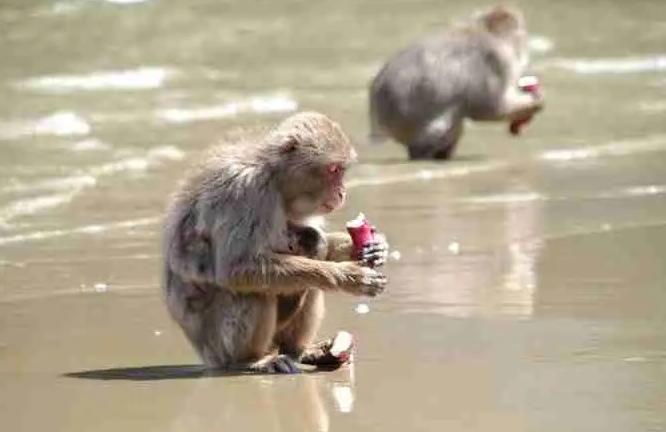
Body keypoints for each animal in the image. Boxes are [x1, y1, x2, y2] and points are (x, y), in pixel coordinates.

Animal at [162, 111, 390, 374]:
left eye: (341, 171)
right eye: (334, 169)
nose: (342, 192)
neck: (275, 180)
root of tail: (205, 355)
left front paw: (371, 247)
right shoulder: (245, 192)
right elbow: (236, 269)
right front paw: (347, 276)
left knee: (312, 265)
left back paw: (300, 351)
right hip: (219, 346)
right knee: (253, 291)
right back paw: (250, 360)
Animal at [366, 4, 544, 160]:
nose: (525, 46)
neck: (490, 33)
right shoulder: (495, 61)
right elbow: (488, 108)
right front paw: (535, 102)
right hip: (416, 130)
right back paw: (425, 154)